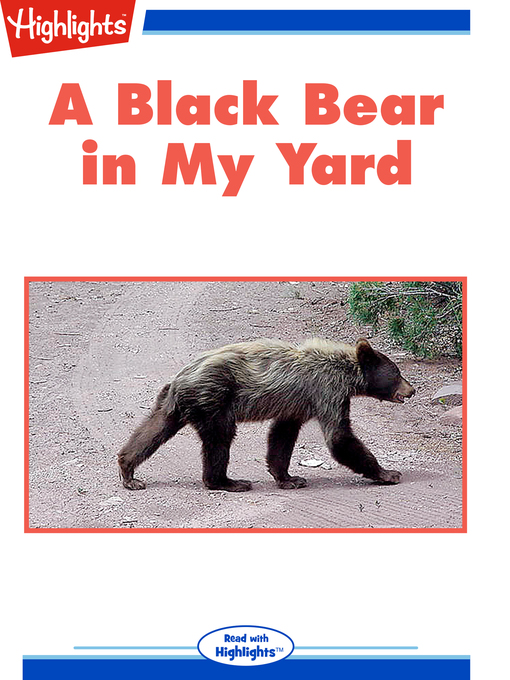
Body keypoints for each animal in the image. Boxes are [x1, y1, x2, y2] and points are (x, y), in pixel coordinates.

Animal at [117, 338, 415, 492]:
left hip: (173, 405)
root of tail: (180, 379)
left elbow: (282, 435)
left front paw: (288, 477)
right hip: (214, 399)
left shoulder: (297, 404)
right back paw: (227, 481)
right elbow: (340, 437)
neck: (347, 372)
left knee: (152, 430)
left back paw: (128, 471)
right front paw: (388, 473)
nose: (412, 390)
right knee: (220, 439)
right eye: (396, 372)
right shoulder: (327, 391)